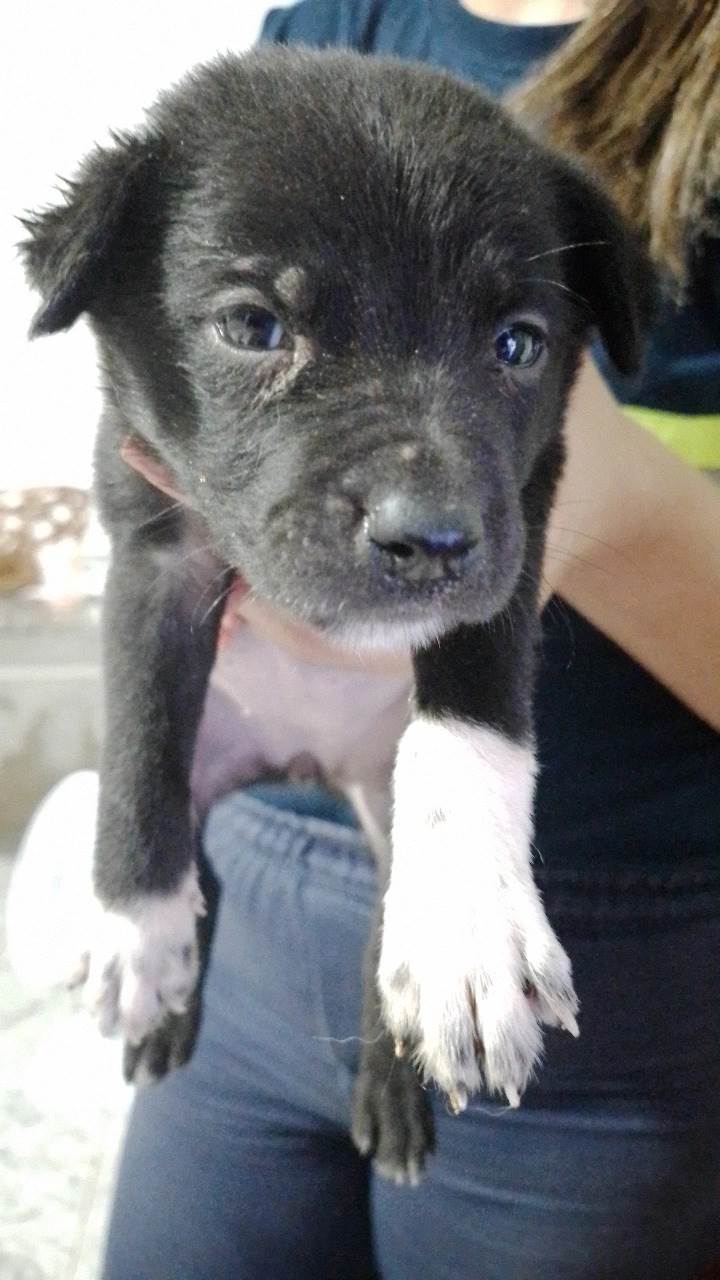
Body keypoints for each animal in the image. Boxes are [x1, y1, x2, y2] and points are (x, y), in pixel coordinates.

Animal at [22, 46, 651, 1181]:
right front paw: (137, 931)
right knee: (198, 832)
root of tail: (297, 763)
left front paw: (468, 927)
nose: (429, 540)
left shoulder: (520, 517)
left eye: (519, 344)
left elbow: (471, 720)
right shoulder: (150, 549)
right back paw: (174, 997)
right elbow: (140, 742)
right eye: (252, 326)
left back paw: (396, 1077)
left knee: (375, 931)